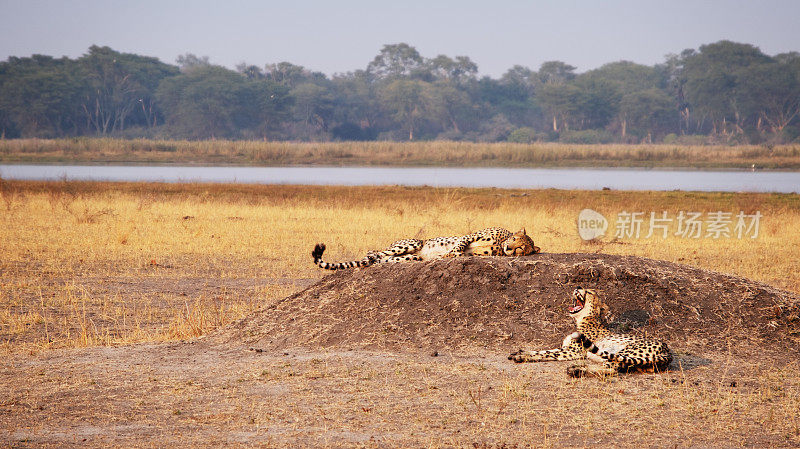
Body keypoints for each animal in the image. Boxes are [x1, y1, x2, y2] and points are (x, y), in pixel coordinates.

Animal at [510, 286, 672, 376]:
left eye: (588, 292)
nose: (577, 287)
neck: (583, 319)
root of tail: (667, 351)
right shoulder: (566, 347)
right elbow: (544, 351)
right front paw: (521, 353)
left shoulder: (574, 351)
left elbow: (548, 354)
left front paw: (522, 357)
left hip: (625, 351)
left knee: (613, 369)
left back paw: (577, 370)